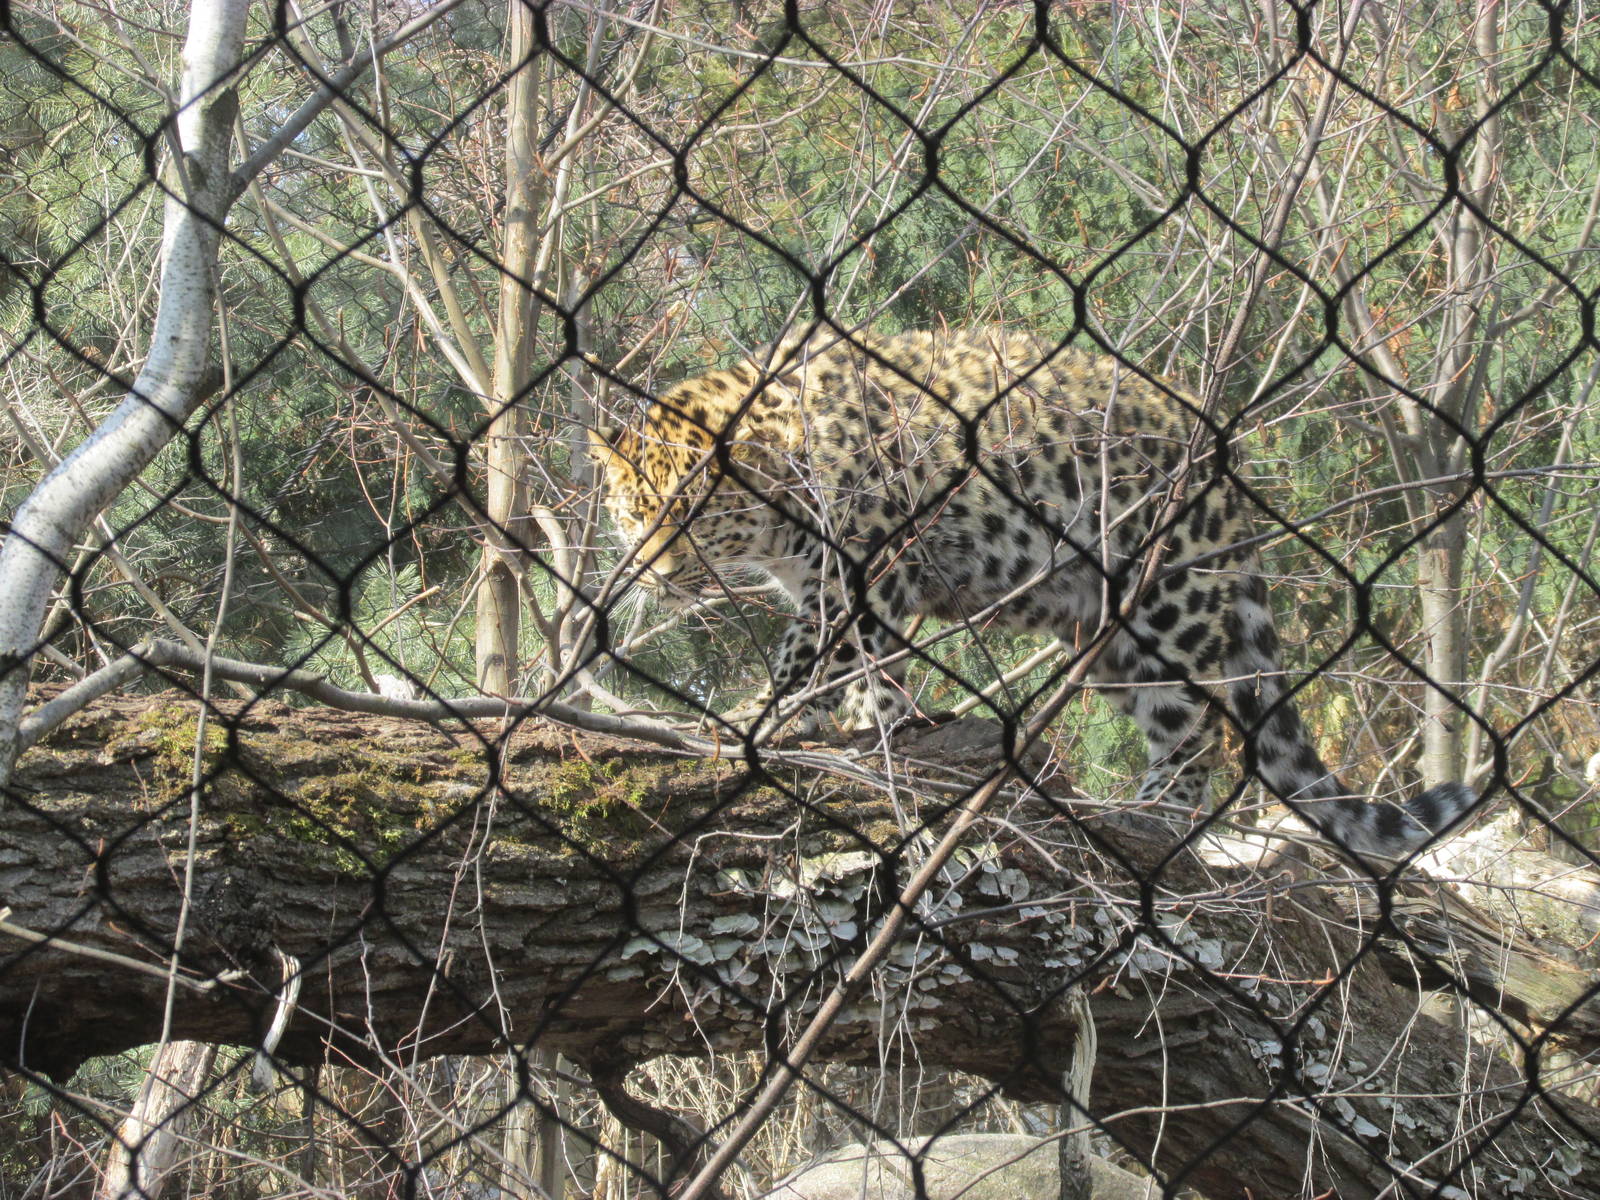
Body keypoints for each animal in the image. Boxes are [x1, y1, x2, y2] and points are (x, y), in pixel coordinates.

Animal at [589, 326, 1481, 859]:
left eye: (693, 516)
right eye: (635, 513)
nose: (656, 573)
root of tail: (1224, 467)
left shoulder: (861, 571)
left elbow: (811, 659)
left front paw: (764, 718)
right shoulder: (858, 590)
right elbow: (876, 678)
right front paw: (889, 733)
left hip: (1168, 597)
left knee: (1198, 734)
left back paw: (1149, 818)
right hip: (1107, 641)